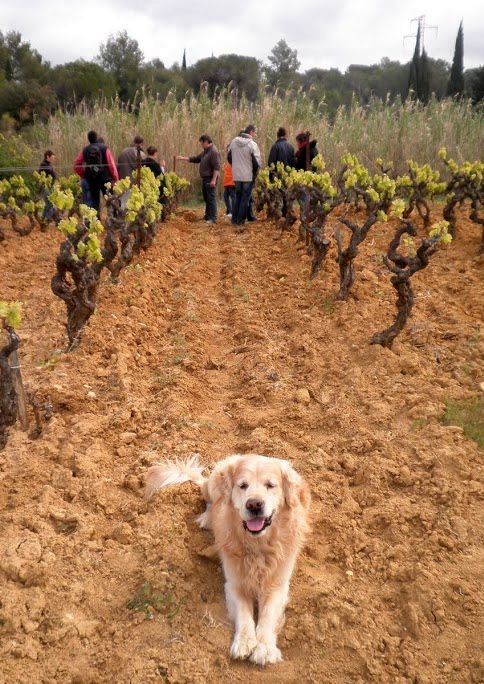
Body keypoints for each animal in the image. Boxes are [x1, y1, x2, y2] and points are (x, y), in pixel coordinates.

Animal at [144, 454, 310, 668]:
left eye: (271, 485)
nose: (254, 504)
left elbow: (267, 616)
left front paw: (264, 648)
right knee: (210, 500)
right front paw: (244, 642)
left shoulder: (278, 586)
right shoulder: (234, 584)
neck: (258, 546)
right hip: (212, 485)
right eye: (243, 485)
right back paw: (207, 518)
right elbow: (244, 614)